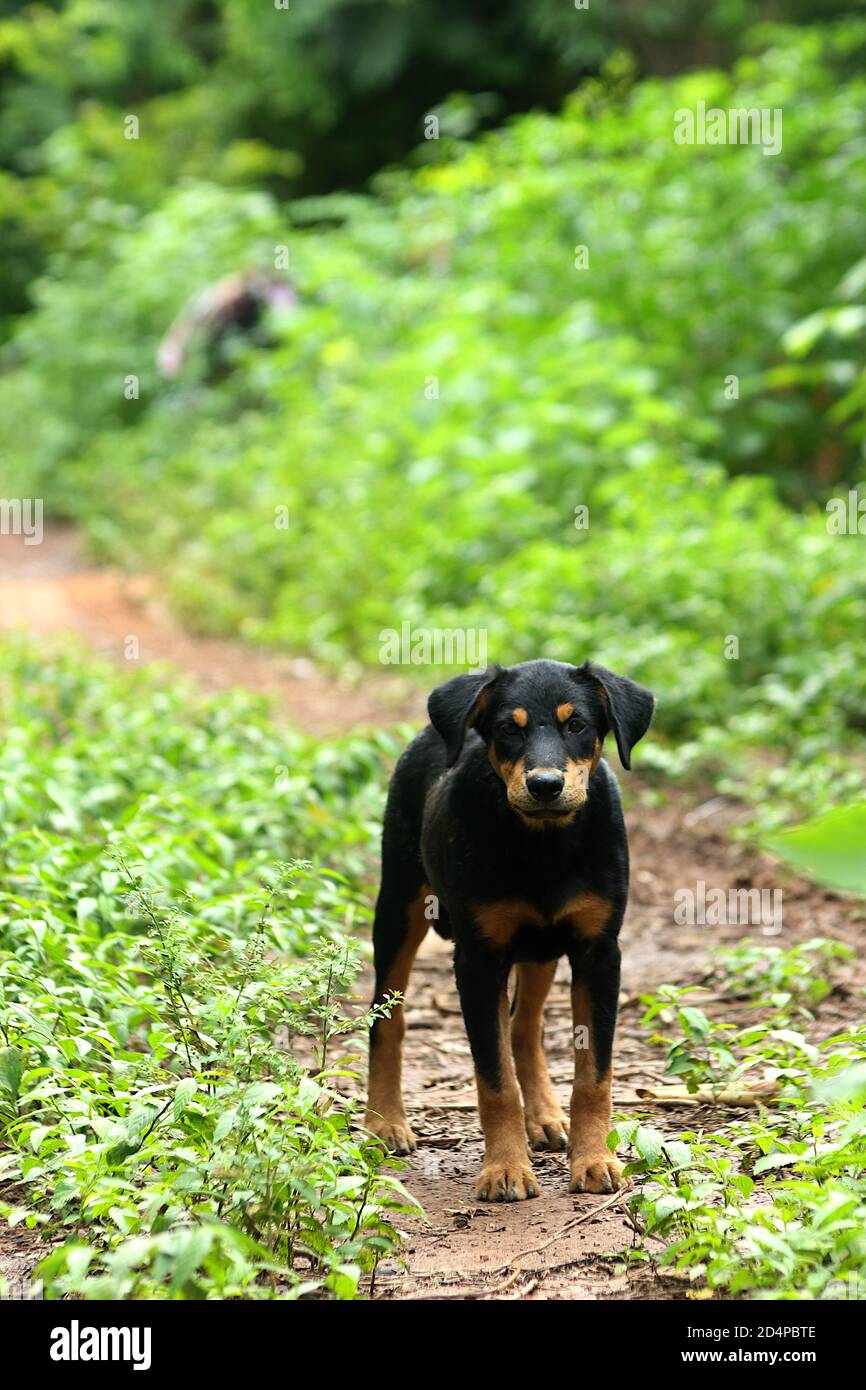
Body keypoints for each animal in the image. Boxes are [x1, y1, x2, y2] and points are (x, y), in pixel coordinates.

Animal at [361, 658, 653, 1195]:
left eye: (576, 725)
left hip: (539, 946)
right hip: (399, 904)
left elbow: (594, 1074)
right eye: (507, 730)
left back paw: (545, 1117)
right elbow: (495, 1080)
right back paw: (385, 1121)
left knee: (523, 1026)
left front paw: (594, 1160)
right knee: (387, 1018)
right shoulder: (478, 959)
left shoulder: (599, 952)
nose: (545, 785)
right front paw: (505, 1169)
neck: (543, 844)